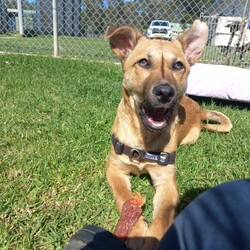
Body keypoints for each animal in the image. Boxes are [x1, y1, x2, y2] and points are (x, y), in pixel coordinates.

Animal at [104, 20, 232, 250]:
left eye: (178, 66)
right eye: (143, 62)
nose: (165, 92)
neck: (144, 140)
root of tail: (199, 110)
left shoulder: (166, 180)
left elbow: (163, 215)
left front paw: (152, 238)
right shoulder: (114, 168)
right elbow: (124, 196)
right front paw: (136, 230)